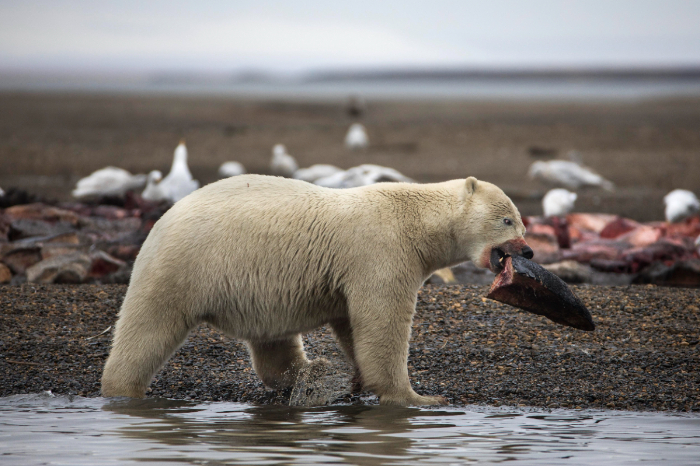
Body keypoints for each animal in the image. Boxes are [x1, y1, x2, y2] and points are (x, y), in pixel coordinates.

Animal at [101, 175, 532, 406]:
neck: (418, 222)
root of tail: (160, 220)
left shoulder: (352, 273)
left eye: (522, 222)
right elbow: (383, 322)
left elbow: (352, 324)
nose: (528, 250)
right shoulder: (381, 251)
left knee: (273, 343)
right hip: (184, 266)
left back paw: (307, 372)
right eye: (507, 219)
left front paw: (357, 379)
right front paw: (416, 397)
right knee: (148, 327)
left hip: (253, 288)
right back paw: (121, 389)